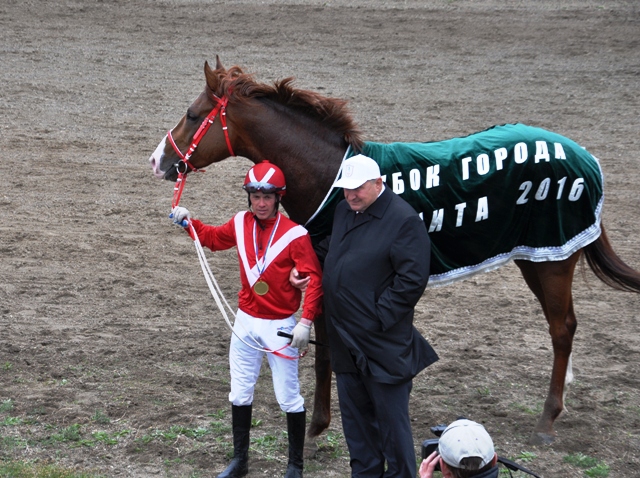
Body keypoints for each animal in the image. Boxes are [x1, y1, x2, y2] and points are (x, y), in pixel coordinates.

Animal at [148, 58, 640, 446]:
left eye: (193, 115)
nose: (157, 160)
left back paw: (547, 418)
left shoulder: (327, 276)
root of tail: (585, 156)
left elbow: (326, 352)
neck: (333, 177)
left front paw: (318, 426)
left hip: (554, 260)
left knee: (562, 329)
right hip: (537, 257)